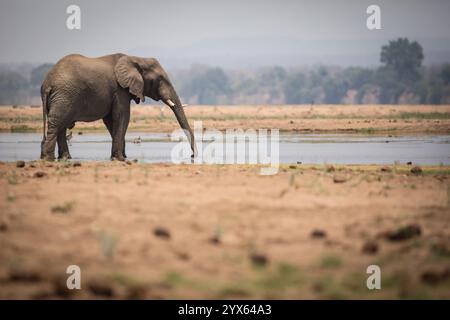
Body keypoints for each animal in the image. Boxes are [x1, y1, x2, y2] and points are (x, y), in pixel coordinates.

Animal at [41, 53, 196, 161]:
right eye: (160, 79)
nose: (193, 156)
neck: (136, 58)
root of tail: (47, 83)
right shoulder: (120, 89)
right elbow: (122, 117)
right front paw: (120, 158)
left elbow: (111, 120)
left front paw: (121, 156)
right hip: (64, 95)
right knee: (57, 123)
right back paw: (49, 158)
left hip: (62, 97)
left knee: (61, 125)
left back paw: (64, 158)